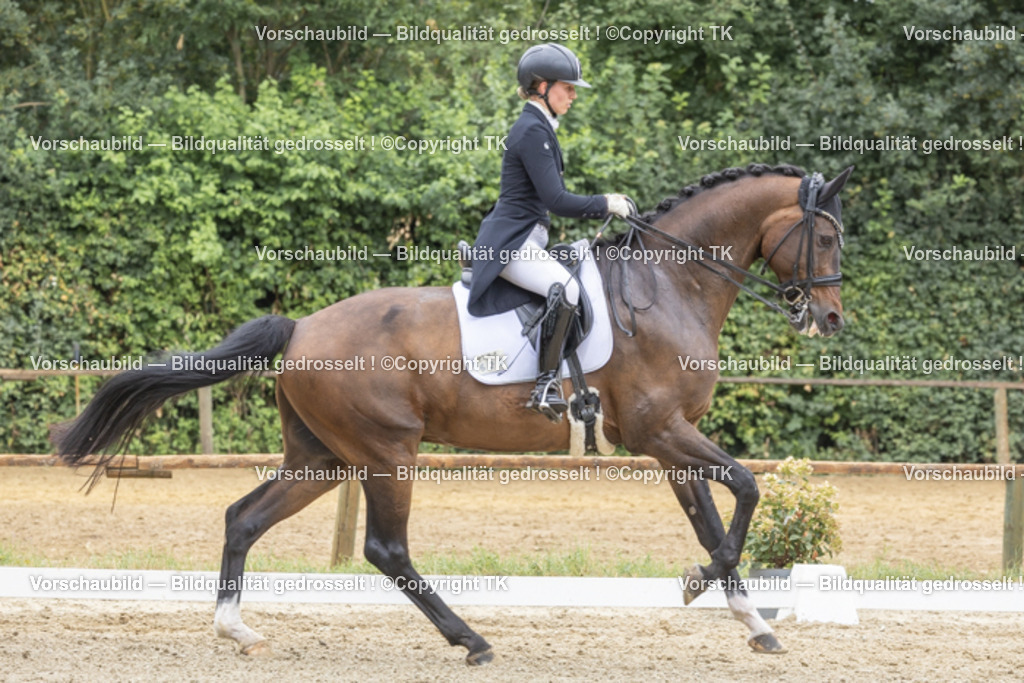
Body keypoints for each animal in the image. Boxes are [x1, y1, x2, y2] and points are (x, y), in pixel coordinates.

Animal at [52, 162, 853, 665]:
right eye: (825, 237)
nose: (831, 320)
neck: (668, 285)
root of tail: (301, 326)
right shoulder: (662, 431)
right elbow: (746, 488)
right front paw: (698, 584)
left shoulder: (666, 439)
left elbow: (715, 521)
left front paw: (752, 622)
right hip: (385, 453)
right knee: (387, 550)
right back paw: (471, 640)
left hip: (323, 456)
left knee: (244, 517)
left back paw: (237, 630)